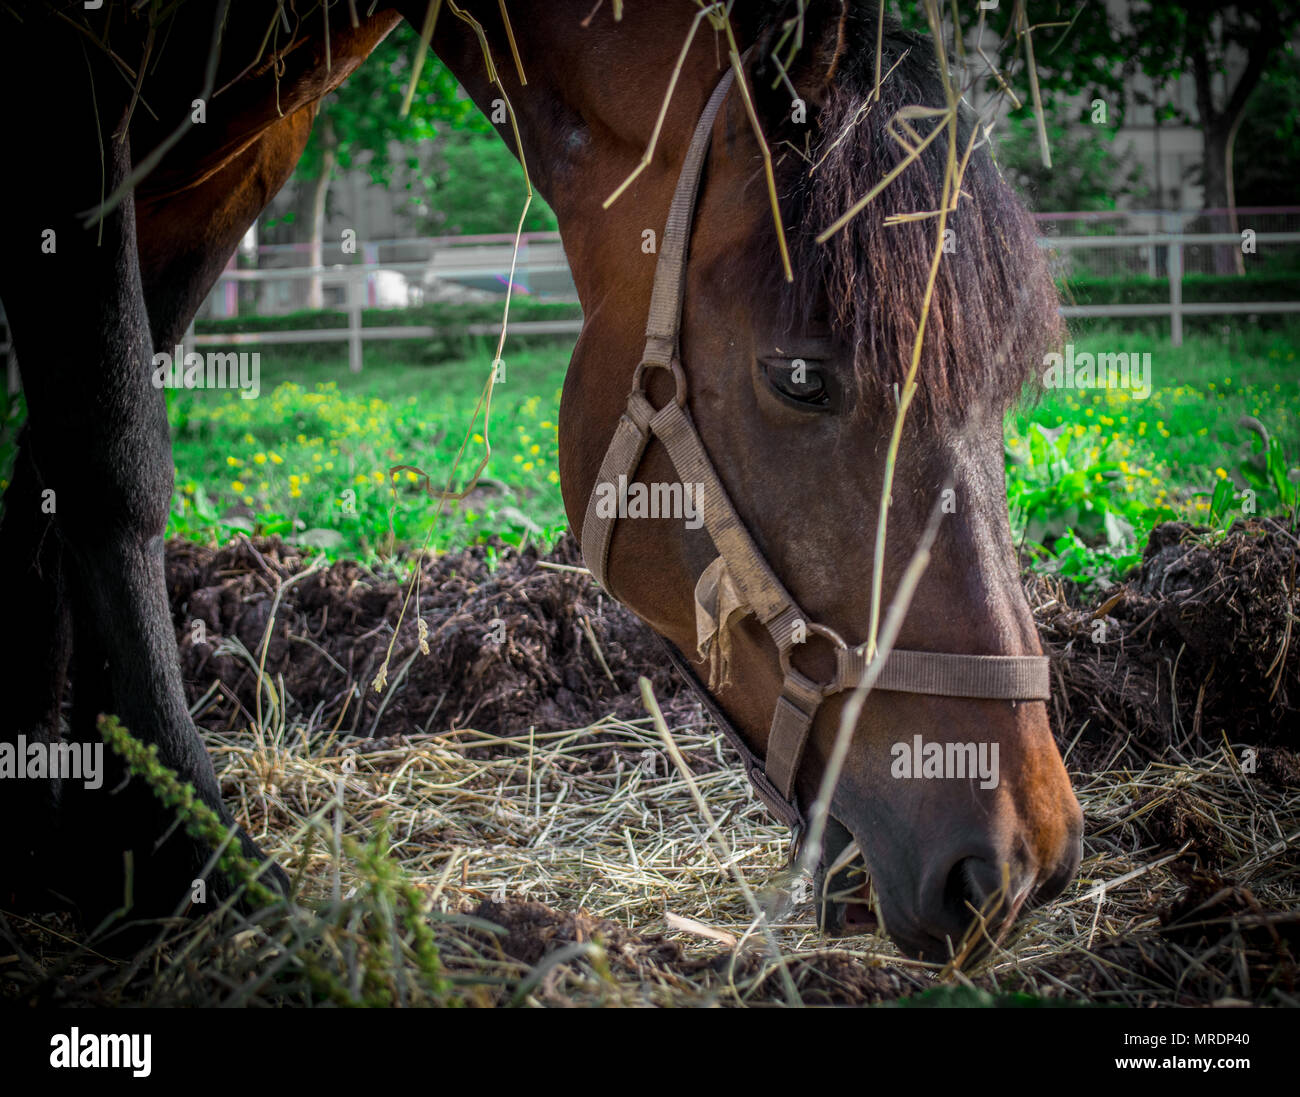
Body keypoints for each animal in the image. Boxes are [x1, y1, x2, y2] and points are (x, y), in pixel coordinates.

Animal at [0, 0, 1082, 963]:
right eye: (802, 376)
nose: (1021, 859)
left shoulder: (231, 152)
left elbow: (51, 461)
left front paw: (79, 812)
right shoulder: (79, 104)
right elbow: (108, 455)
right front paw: (180, 854)